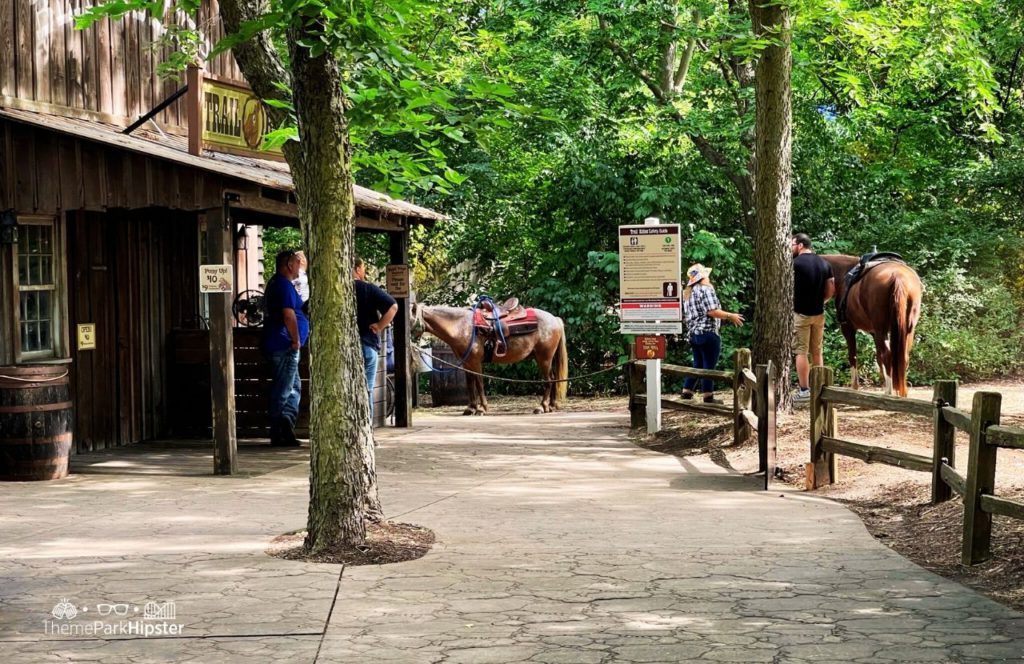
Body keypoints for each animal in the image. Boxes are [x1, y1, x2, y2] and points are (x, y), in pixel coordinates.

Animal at [411, 305, 569, 413]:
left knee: (549, 380)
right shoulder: (467, 363)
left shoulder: (475, 362)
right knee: (554, 378)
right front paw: (471, 408)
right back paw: (551, 406)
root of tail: (555, 319)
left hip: (544, 358)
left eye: (410, 319)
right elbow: (470, 384)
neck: (462, 327)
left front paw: (482, 408)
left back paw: (542, 407)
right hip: (547, 358)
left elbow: (479, 383)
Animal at [819, 254, 925, 397]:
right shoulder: (875, 332)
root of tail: (897, 276)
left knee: (888, 355)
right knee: (902, 358)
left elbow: (853, 356)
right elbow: (879, 359)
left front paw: (854, 387)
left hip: (882, 330)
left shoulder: (848, 328)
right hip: (908, 330)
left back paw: (889, 392)